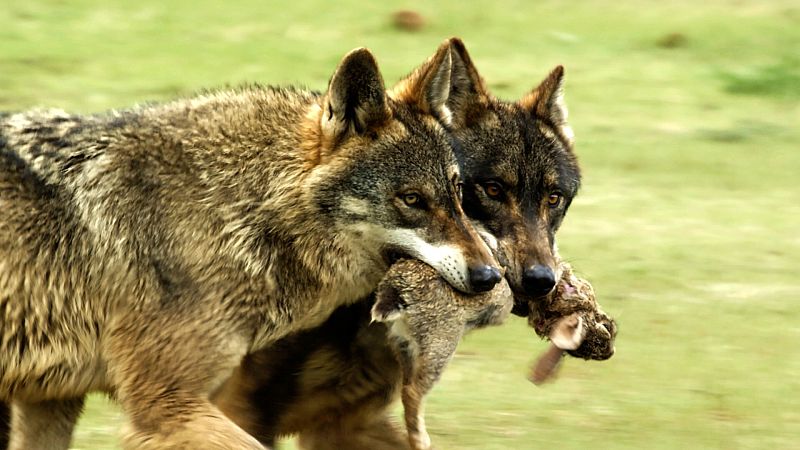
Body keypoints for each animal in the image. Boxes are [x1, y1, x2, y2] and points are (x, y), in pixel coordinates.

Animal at [0, 46, 501, 449]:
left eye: (458, 193)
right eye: (412, 199)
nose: (490, 276)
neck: (236, 211)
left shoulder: (53, 400)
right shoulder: (166, 404)